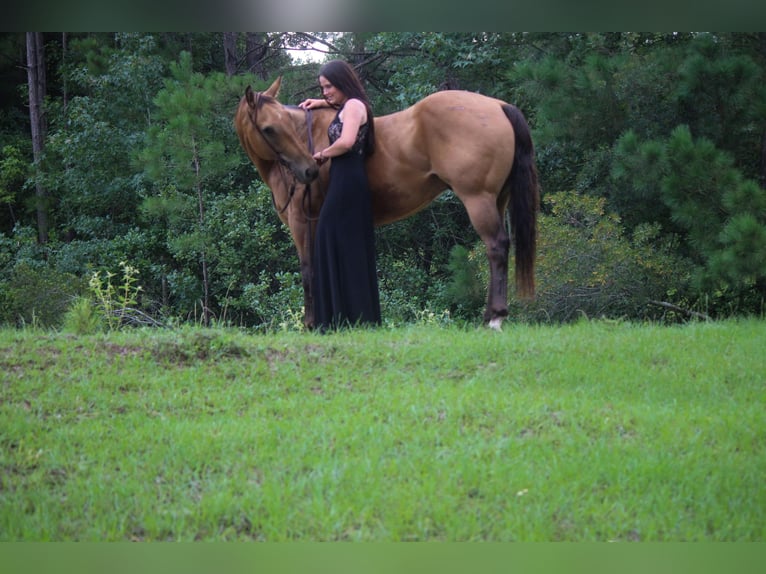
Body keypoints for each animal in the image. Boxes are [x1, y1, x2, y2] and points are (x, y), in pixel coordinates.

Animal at [234, 75, 540, 332]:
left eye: (282, 125)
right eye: (269, 129)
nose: (309, 169)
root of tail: (499, 106)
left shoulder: (302, 222)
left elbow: (308, 270)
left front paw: (311, 324)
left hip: (479, 200)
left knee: (496, 247)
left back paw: (495, 318)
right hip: (497, 200)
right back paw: (490, 315)